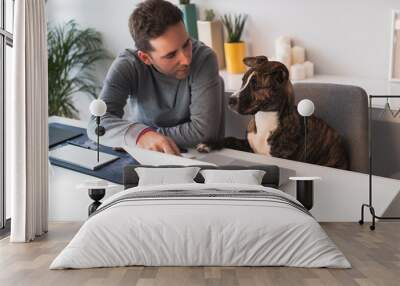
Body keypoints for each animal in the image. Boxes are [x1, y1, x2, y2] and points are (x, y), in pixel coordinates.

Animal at [198, 55, 348, 170]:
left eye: (255, 85)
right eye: (243, 81)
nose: (230, 100)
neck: (264, 118)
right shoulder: (249, 146)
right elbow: (230, 138)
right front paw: (209, 144)